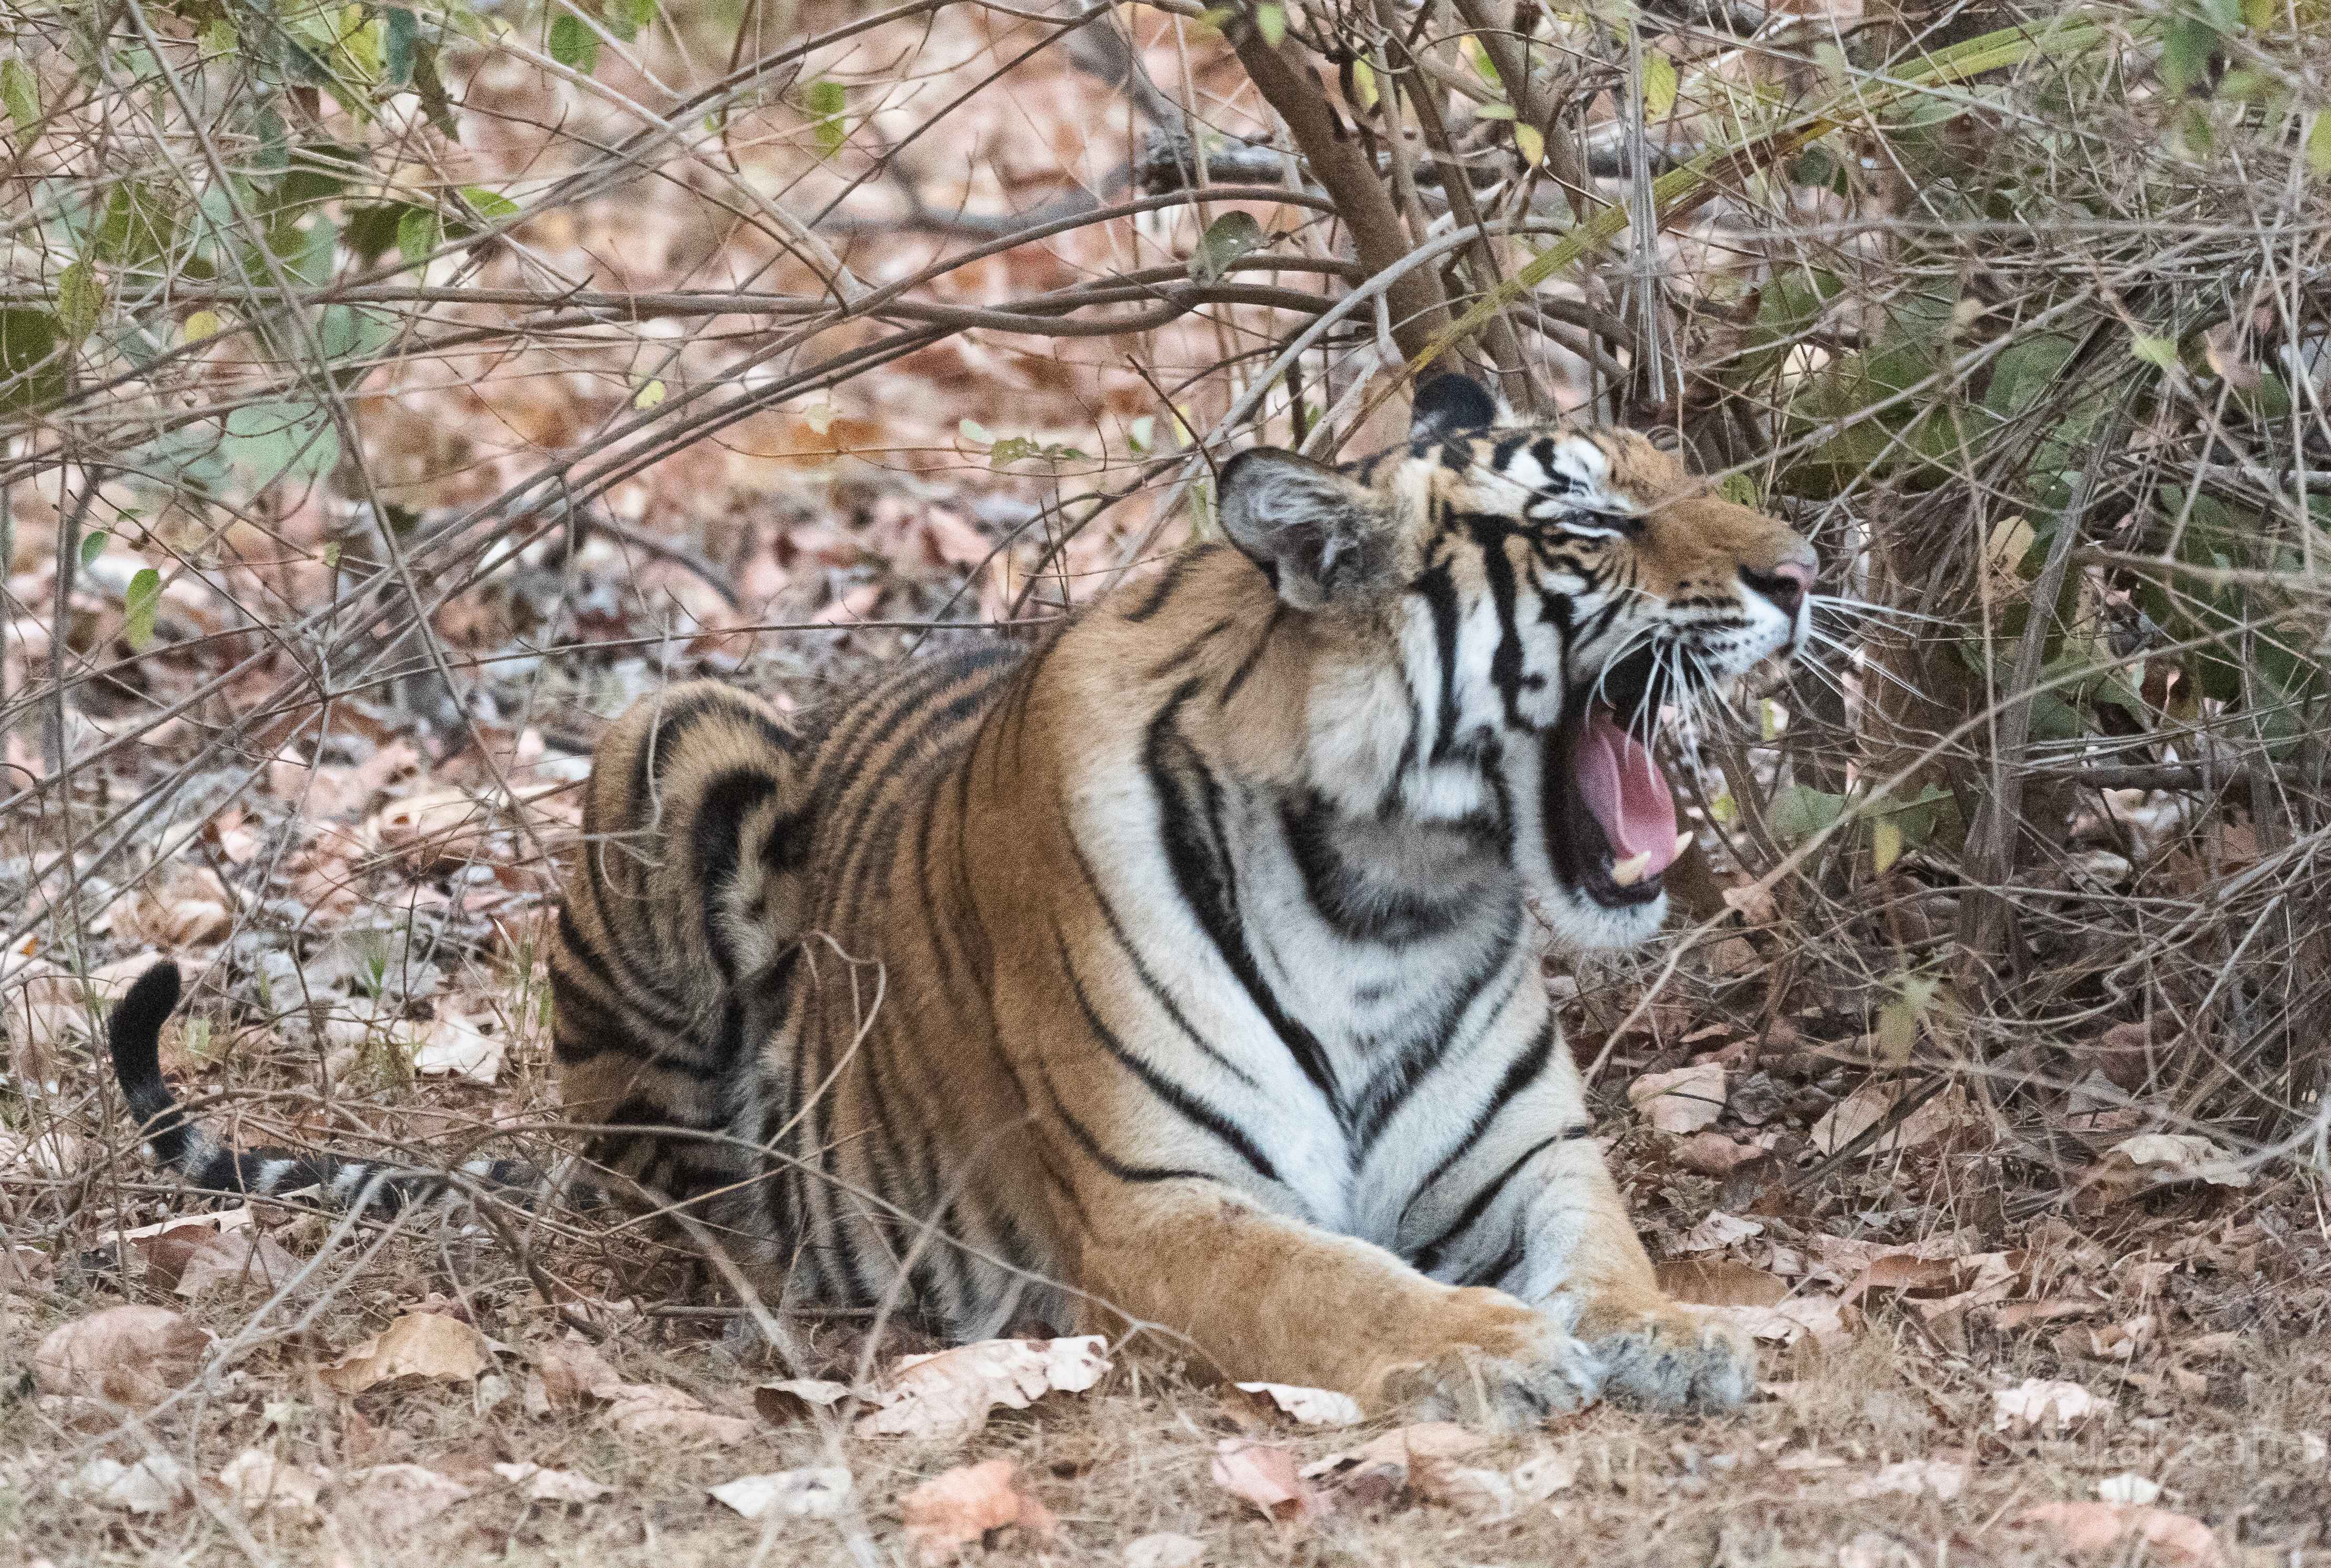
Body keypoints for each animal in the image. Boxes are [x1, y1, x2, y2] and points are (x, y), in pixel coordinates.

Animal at [107, 371, 1816, 1425]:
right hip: (672, 733)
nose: (1803, 569)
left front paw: (1677, 1335)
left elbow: (1609, 1250)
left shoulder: (1532, 1159)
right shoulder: (1157, 1206)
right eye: (1587, 522)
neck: (1395, 893)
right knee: (669, 1189)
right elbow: (1332, 1282)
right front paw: (1488, 1348)